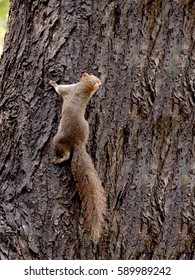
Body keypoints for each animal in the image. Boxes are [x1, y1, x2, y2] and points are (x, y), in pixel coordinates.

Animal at [48, 73, 106, 242]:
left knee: (66, 155)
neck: (83, 88)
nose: (101, 83)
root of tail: (79, 144)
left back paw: (58, 159)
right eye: (95, 78)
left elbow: (59, 89)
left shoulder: (69, 89)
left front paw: (53, 83)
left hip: (58, 140)